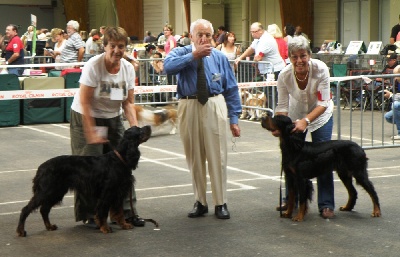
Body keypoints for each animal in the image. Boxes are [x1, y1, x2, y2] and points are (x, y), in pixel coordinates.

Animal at [15, 125, 152, 235]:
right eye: (139, 130)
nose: (149, 126)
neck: (120, 159)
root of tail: (41, 167)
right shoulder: (107, 193)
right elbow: (102, 212)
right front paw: (105, 228)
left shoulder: (118, 192)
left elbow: (119, 211)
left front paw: (124, 224)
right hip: (46, 190)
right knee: (26, 209)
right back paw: (21, 231)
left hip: (56, 191)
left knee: (44, 209)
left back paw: (49, 226)